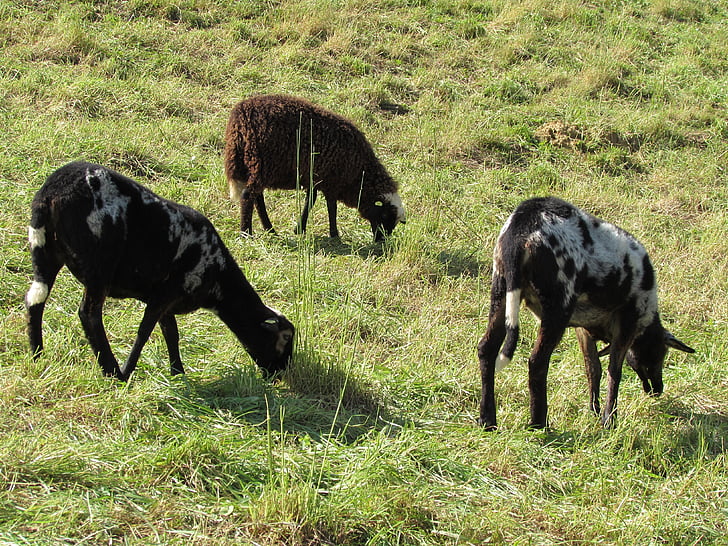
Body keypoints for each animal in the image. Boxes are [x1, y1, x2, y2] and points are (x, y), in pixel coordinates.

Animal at [26, 160, 292, 378]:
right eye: (285, 338)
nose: (280, 374)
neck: (219, 285)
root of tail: (50, 191)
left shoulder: (165, 299)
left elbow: (170, 332)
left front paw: (178, 373)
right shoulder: (166, 293)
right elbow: (145, 332)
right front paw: (130, 371)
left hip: (45, 251)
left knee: (35, 300)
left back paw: (37, 354)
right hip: (99, 264)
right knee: (88, 314)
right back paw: (113, 372)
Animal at [223, 93, 404, 240]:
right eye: (385, 215)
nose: (381, 240)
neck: (359, 174)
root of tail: (240, 116)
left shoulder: (315, 177)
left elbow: (311, 200)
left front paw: (299, 229)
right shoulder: (332, 182)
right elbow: (331, 207)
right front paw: (334, 234)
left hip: (255, 166)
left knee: (257, 198)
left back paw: (270, 230)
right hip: (262, 164)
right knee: (248, 196)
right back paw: (246, 233)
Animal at [478, 196, 692, 430]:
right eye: (661, 352)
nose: (657, 389)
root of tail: (523, 224)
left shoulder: (583, 329)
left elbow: (593, 368)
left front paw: (595, 410)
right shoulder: (627, 325)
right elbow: (614, 371)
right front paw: (609, 419)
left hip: (501, 289)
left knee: (486, 348)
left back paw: (487, 420)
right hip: (558, 306)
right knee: (537, 362)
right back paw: (539, 424)